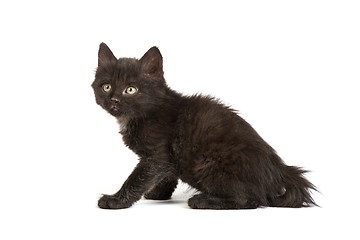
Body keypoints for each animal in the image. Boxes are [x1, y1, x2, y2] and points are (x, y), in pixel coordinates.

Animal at [91, 43, 316, 210]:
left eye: (131, 89)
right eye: (107, 86)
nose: (114, 100)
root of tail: (279, 169)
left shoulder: (156, 154)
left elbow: (137, 179)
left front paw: (115, 200)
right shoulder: (168, 158)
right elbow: (167, 174)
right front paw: (158, 194)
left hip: (208, 164)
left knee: (251, 199)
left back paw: (202, 200)